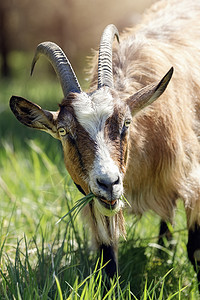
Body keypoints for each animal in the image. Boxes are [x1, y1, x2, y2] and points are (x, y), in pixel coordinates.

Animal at [9, 0, 200, 288]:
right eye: (63, 131)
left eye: (127, 123)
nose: (109, 183)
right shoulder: (94, 201)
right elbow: (107, 261)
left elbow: (195, 251)